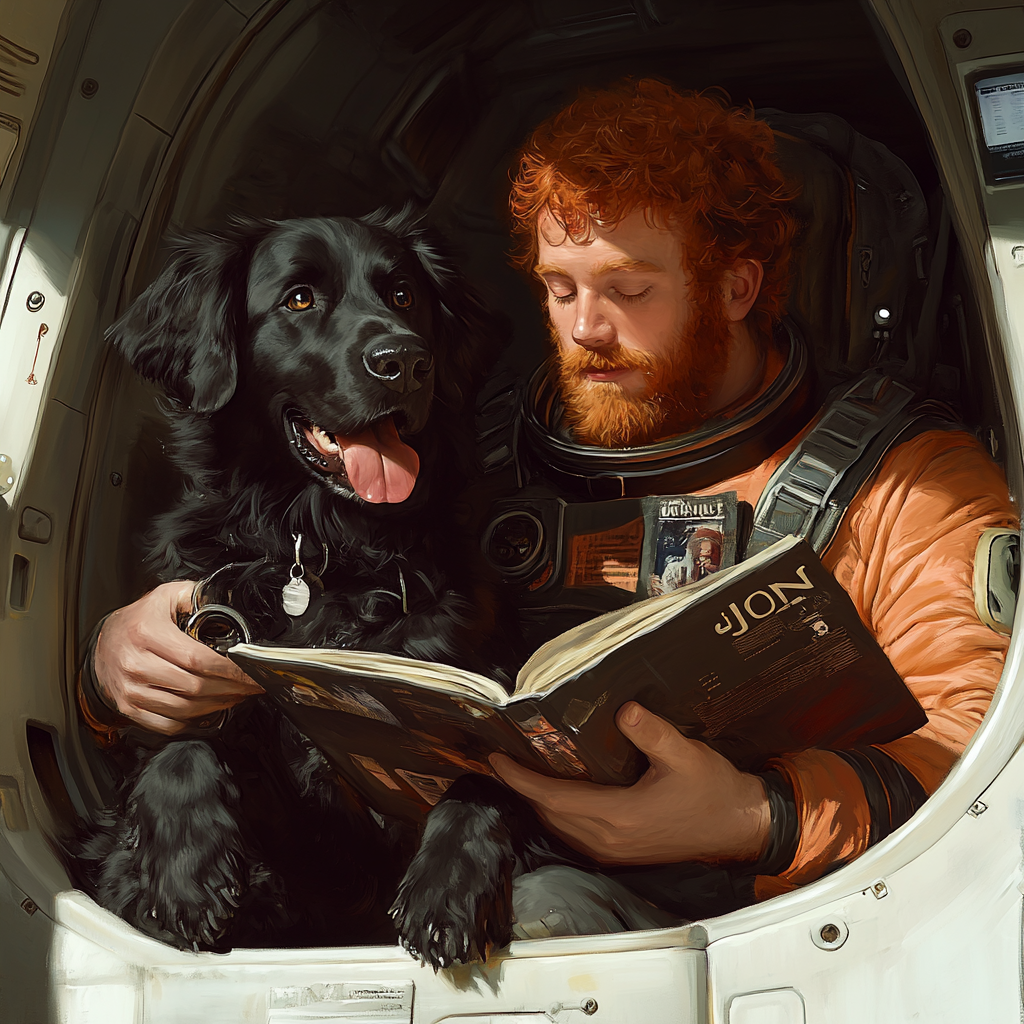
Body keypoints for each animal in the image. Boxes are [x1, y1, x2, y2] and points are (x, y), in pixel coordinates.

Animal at [74, 205, 516, 950]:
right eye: (300, 299)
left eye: (403, 294)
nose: (404, 362)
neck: (323, 549)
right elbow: (179, 744)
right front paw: (187, 865)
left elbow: (491, 768)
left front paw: (448, 880)